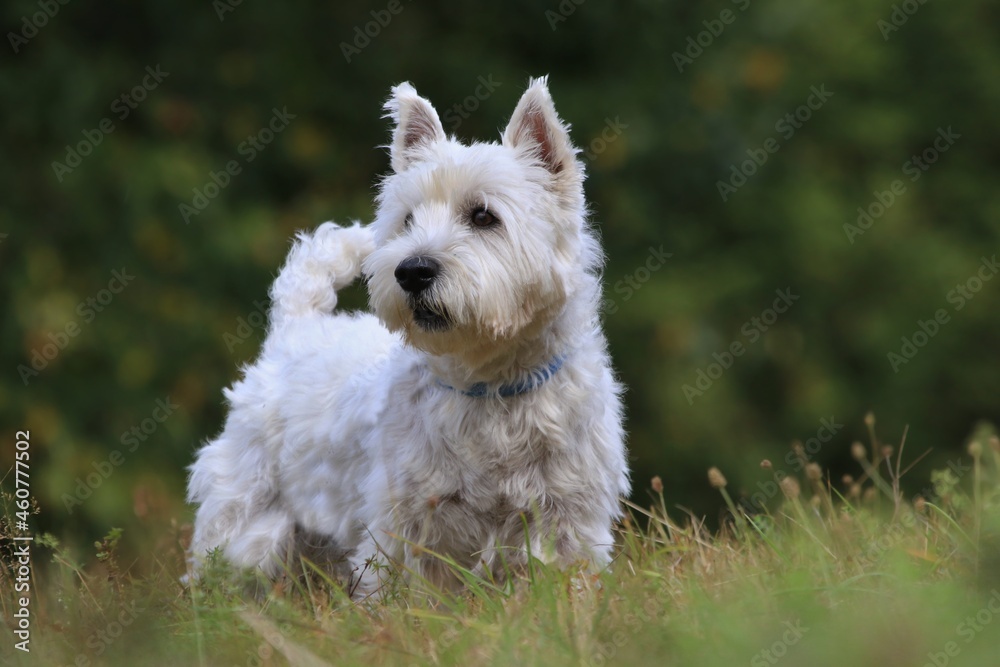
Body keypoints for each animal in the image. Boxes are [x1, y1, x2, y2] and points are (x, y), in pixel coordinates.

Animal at [186, 75, 632, 596]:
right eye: (408, 219)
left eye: (484, 216)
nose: (412, 271)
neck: (491, 384)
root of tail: (295, 328)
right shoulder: (407, 525)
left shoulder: (567, 518)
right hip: (247, 515)